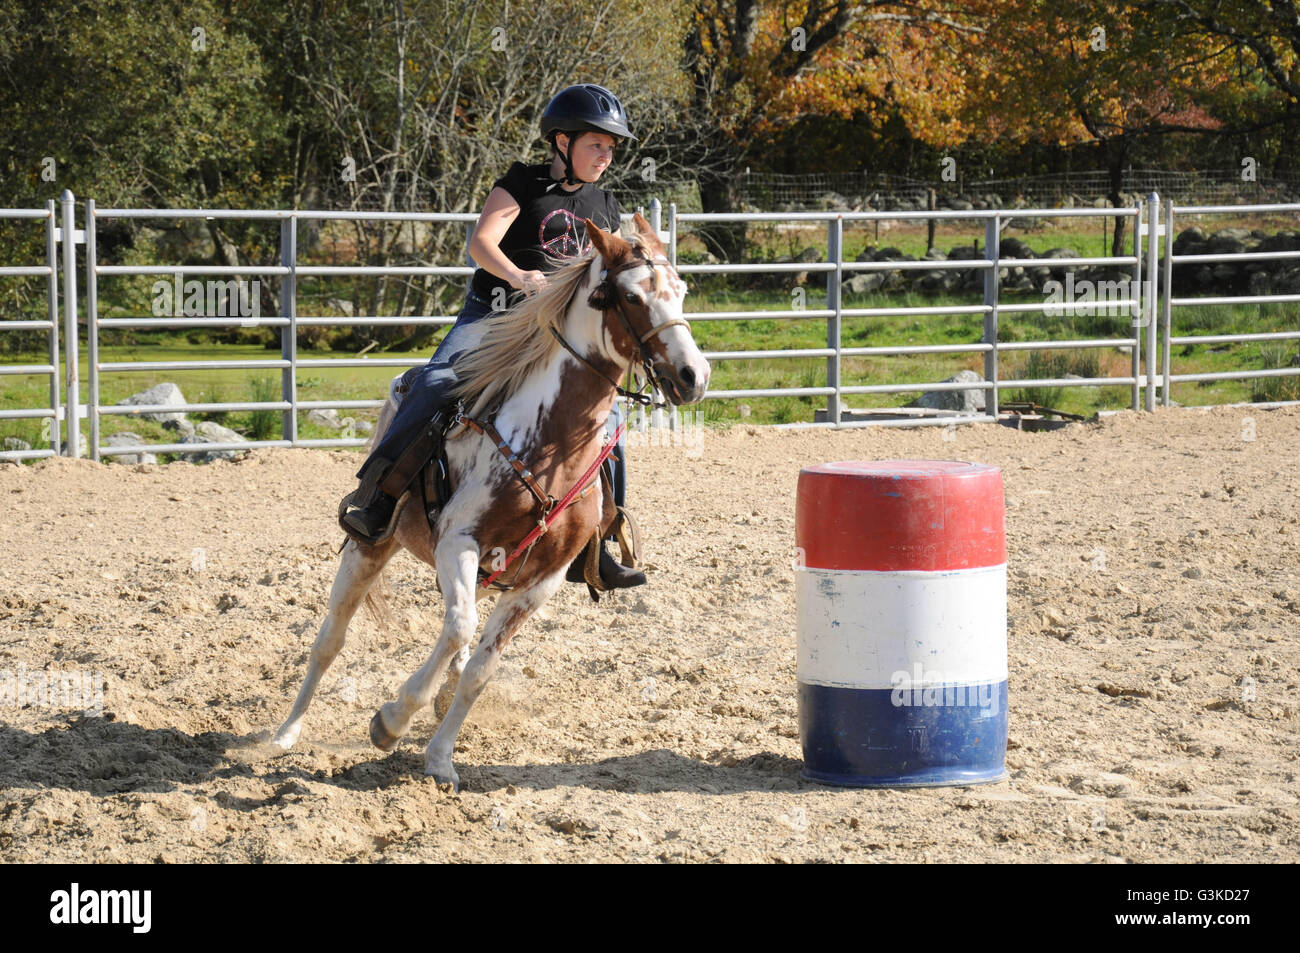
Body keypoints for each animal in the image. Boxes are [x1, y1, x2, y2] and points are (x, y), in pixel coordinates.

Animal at [273, 215, 712, 790]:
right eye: (632, 297)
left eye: (681, 290)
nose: (693, 376)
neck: (546, 443)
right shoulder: (458, 541)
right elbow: (459, 630)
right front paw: (392, 719)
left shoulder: (541, 580)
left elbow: (480, 669)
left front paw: (440, 758)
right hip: (370, 547)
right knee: (331, 639)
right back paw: (284, 734)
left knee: (453, 636)